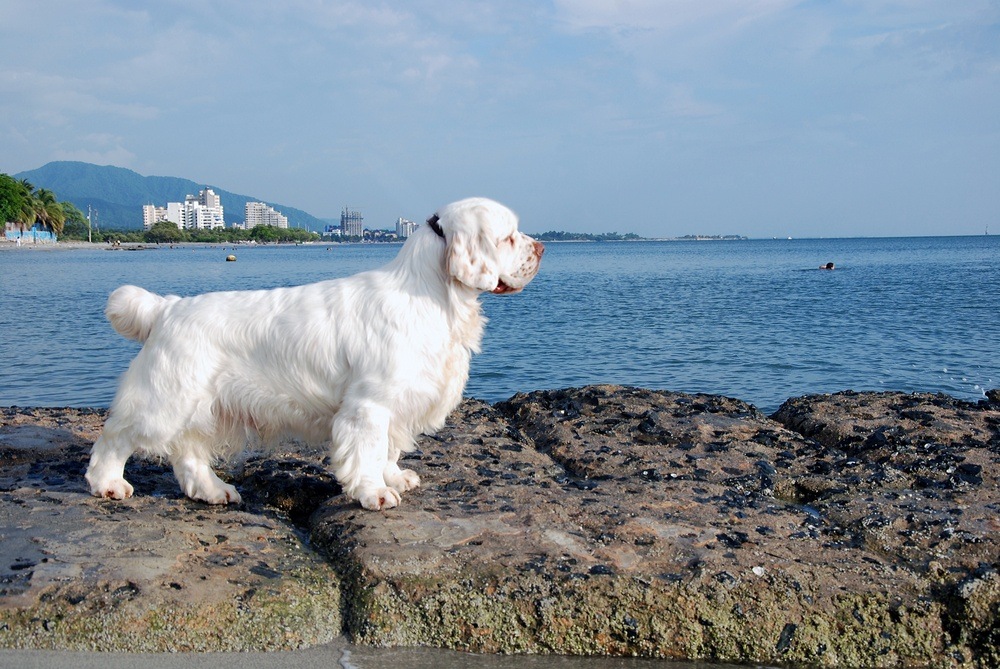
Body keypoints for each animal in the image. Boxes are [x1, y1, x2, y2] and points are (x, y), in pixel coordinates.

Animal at [84, 196, 548, 508]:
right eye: (508, 237)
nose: (542, 248)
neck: (434, 295)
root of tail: (167, 308)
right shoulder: (369, 405)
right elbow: (368, 451)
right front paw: (374, 493)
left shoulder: (399, 403)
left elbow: (389, 449)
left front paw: (394, 478)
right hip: (164, 400)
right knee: (116, 437)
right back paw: (108, 484)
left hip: (202, 408)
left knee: (188, 452)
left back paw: (215, 491)